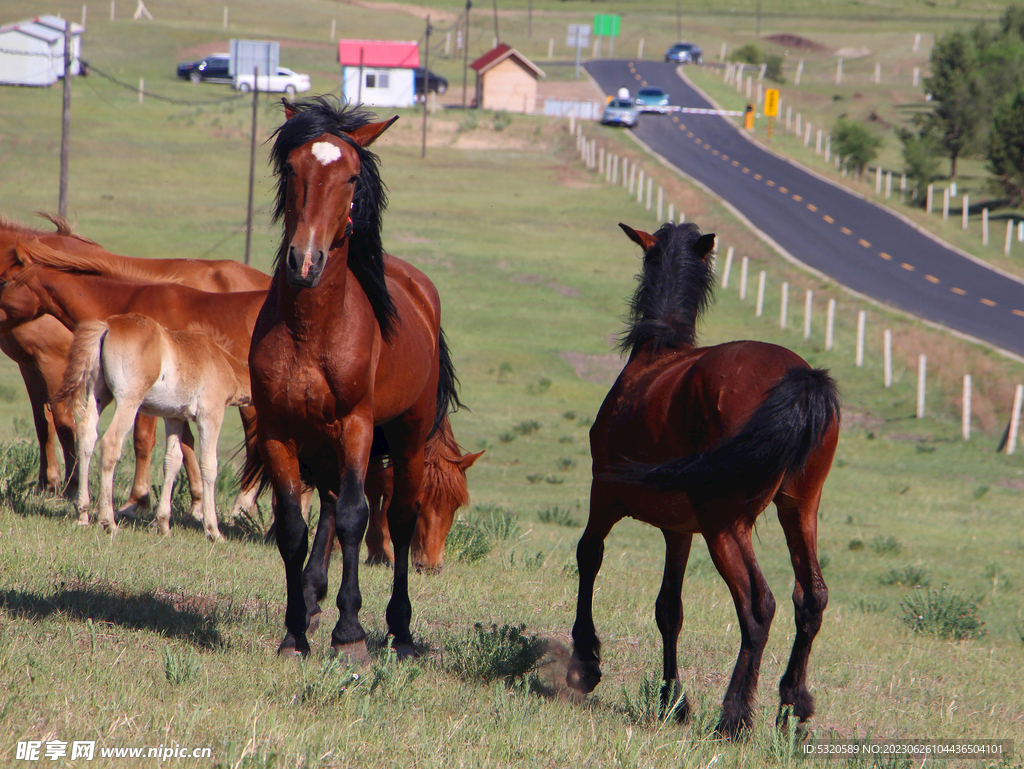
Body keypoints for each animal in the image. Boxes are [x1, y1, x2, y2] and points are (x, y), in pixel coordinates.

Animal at [245, 96, 458, 663]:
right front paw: (295, 633)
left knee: (398, 520)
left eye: (352, 176)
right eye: (292, 169)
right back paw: (314, 600)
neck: (313, 330)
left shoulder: (357, 426)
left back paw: (400, 631)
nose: (305, 261)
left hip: (406, 436)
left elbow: (355, 519)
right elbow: (293, 526)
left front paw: (350, 634)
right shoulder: (278, 430)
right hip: (322, 442)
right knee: (328, 506)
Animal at [364, 415, 483, 573]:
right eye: (416, 504)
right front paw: (378, 552)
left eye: (456, 506)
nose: (431, 567)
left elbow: (390, 486)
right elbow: (375, 486)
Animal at [569, 219, 839, 737]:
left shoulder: (605, 496)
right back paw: (792, 707)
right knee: (810, 598)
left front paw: (585, 661)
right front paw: (671, 699)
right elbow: (668, 609)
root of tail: (800, 378)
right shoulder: (679, 531)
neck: (656, 354)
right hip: (800, 508)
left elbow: (588, 556)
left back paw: (734, 716)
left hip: (725, 524)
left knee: (758, 606)